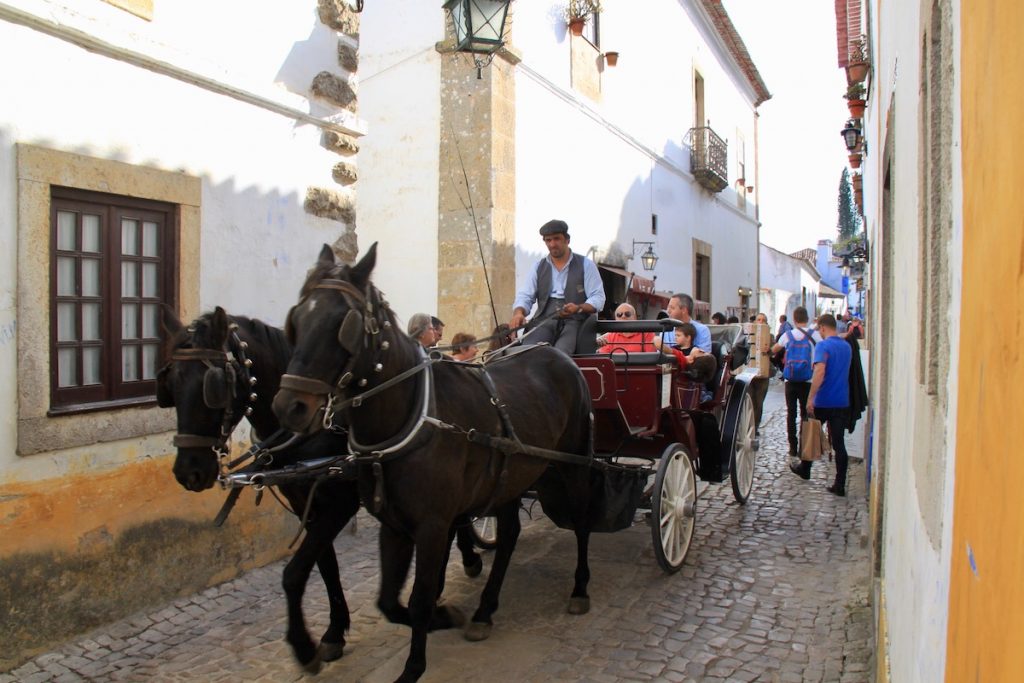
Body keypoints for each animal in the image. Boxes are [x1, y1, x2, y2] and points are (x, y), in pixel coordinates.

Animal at [156, 307, 483, 675]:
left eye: (212, 386)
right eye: (169, 385)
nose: (188, 472)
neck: (309, 428)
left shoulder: (340, 505)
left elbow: (294, 573)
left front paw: (304, 646)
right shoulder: (308, 507)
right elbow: (326, 567)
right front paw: (333, 632)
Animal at [272, 245, 598, 683]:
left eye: (343, 323)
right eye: (297, 320)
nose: (288, 407)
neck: (410, 418)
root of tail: (560, 357)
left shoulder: (431, 526)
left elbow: (420, 597)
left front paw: (414, 664)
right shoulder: (393, 525)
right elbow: (390, 603)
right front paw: (447, 616)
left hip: (573, 464)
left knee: (581, 522)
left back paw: (579, 589)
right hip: (510, 478)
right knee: (509, 535)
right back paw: (484, 611)